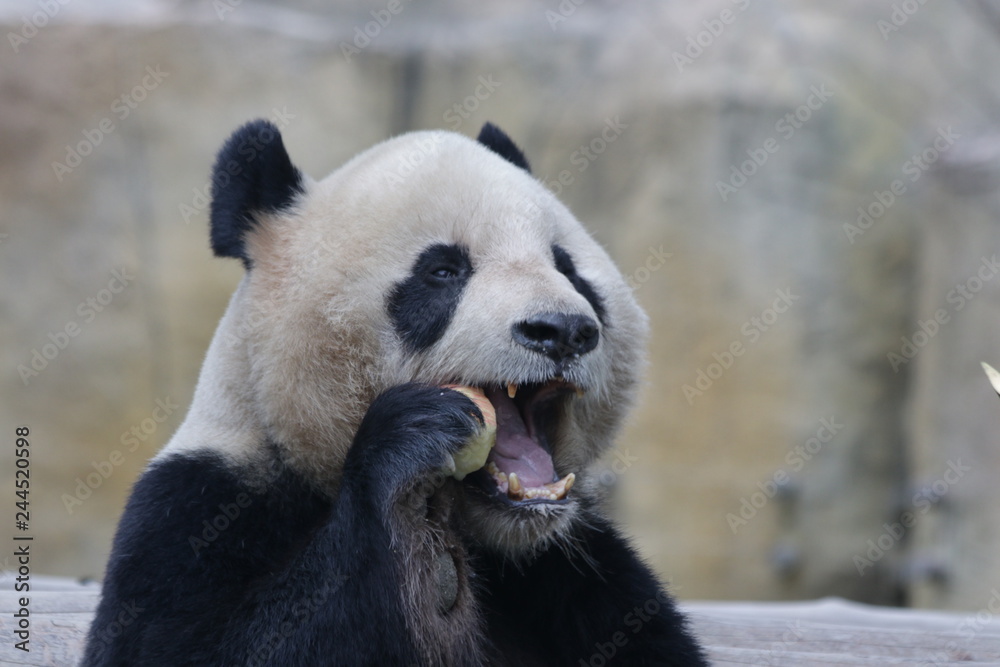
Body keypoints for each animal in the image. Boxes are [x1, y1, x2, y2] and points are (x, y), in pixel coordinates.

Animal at [82, 120, 707, 666]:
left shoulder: (578, 572)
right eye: (443, 271)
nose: (562, 330)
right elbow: (188, 647)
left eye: (569, 270)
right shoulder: (199, 505)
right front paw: (415, 456)